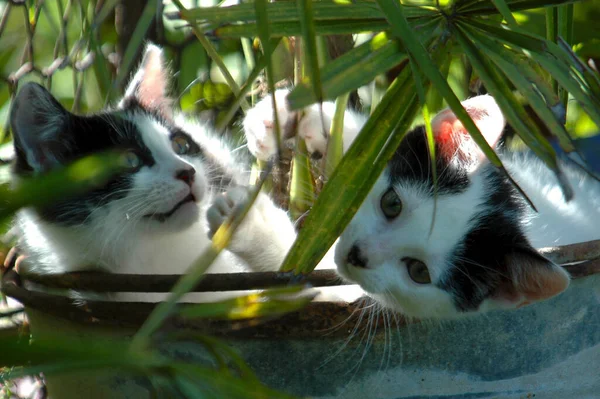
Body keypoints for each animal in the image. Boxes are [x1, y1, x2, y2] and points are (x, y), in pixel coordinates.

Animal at [211, 90, 600, 318]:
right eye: (392, 203)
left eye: (419, 272)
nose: (358, 256)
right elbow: (372, 147)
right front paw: (293, 116)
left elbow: (304, 276)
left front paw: (248, 225)